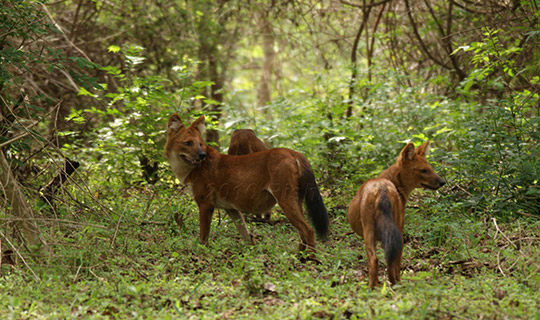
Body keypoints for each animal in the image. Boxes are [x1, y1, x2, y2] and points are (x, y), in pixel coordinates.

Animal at [165, 114, 326, 251]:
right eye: (187, 143)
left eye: (200, 144)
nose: (201, 155)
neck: (190, 170)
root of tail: (294, 153)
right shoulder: (231, 208)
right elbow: (246, 234)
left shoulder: (206, 204)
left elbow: (203, 237)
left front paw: (200, 252)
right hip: (297, 200)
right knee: (302, 233)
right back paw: (299, 256)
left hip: (285, 200)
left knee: (308, 230)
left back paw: (310, 260)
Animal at [348, 142, 446, 288]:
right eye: (423, 170)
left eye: (431, 168)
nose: (442, 182)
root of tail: (381, 188)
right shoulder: (400, 227)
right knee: (391, 259)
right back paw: (394, 283)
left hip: (369, 229)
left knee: (375, 259)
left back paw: (373, 287)